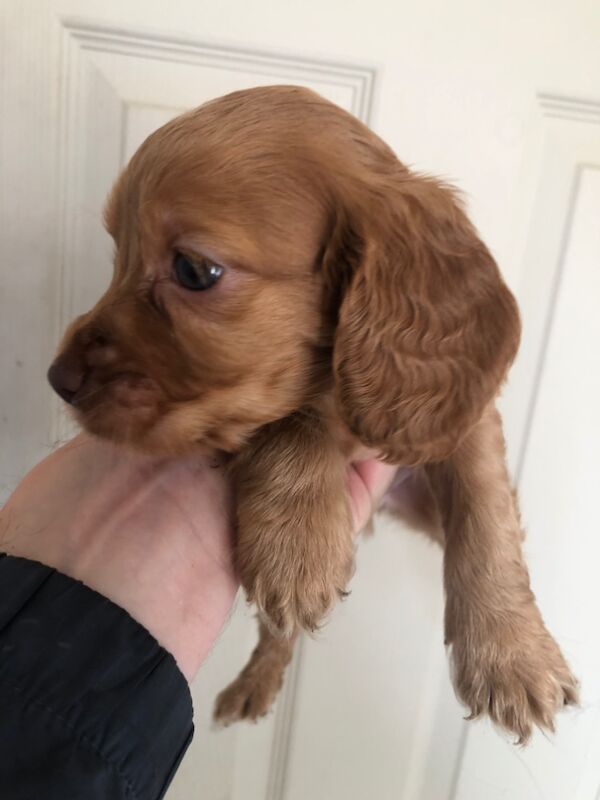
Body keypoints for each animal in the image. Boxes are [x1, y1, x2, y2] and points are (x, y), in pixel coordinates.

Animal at [48, 86, 576, 744]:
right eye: (117, 255)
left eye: (193, 270)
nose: (58, 378)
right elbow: (293, 419)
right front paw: (297, 543)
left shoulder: (463, 411)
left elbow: (487, 512)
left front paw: (512, 653)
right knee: (280, 626)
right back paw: (258, 677)